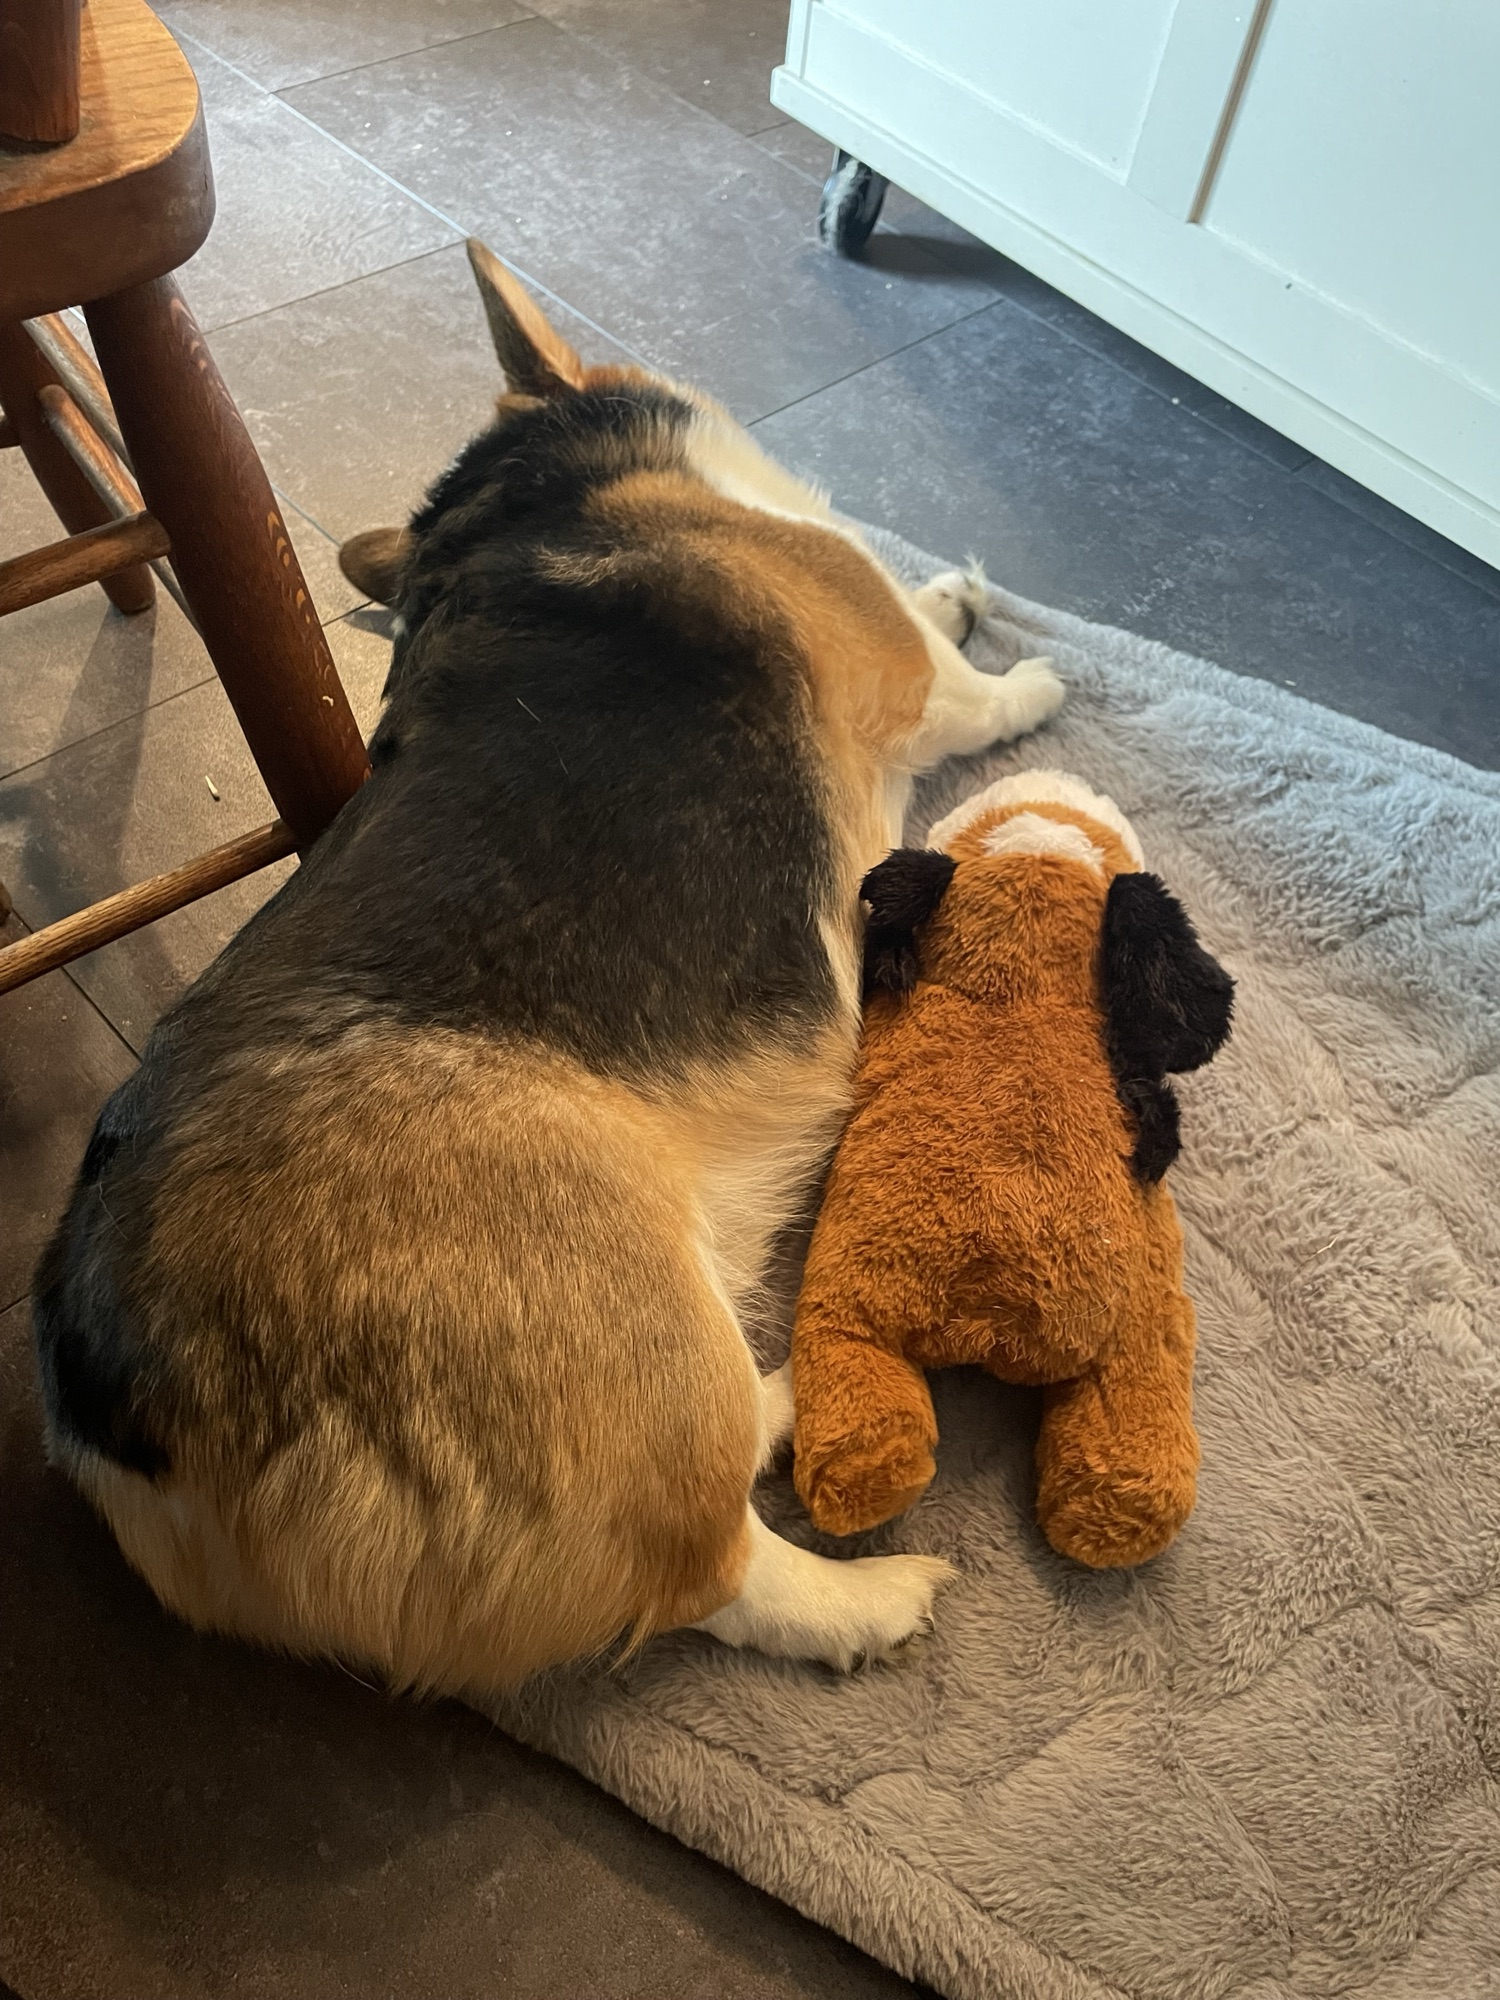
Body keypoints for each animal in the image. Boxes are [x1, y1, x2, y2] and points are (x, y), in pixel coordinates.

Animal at [33, 240, 1065, 1693]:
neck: (533, 500)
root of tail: (122, 1389)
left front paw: (961, 591)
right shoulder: (908, 680)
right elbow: (974, 690)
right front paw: (1028, 666)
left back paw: (792, 1389)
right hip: (647, 1345)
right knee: (712, 1575)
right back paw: (868, 1587)